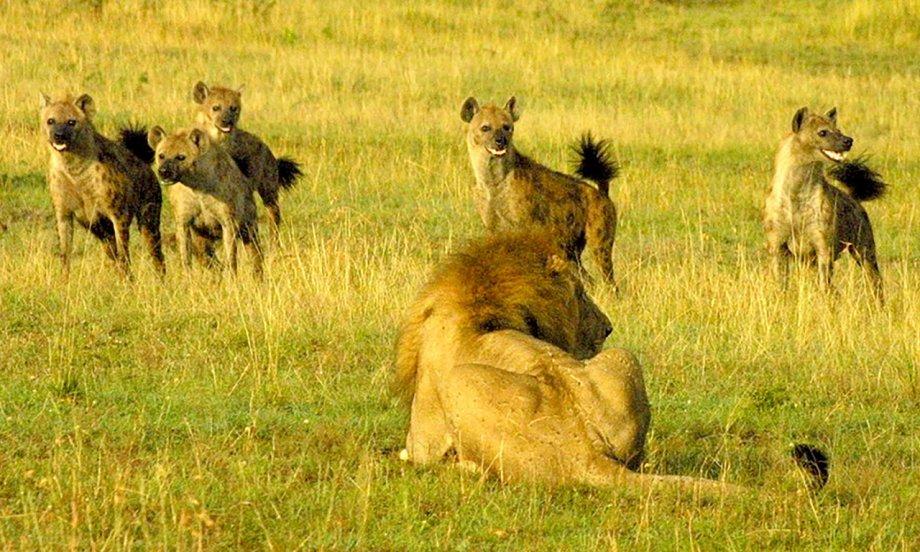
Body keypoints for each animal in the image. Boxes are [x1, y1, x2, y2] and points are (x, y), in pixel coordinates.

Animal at [392, 233, 832, 492]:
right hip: (623, 359)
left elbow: (413, 452)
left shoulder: (423, 438)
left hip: (461, 382)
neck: (478, 303)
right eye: (580, 294)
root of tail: (583, 453)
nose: (607, 326)